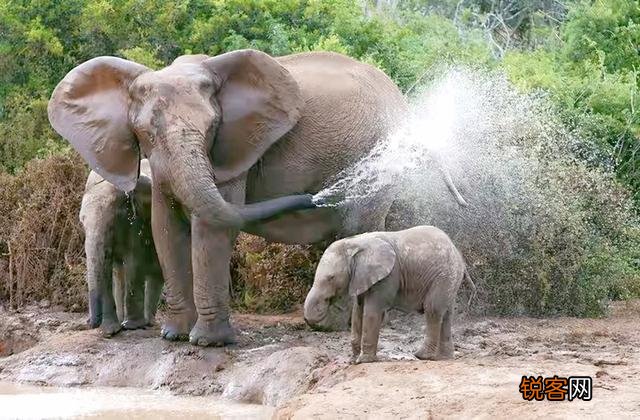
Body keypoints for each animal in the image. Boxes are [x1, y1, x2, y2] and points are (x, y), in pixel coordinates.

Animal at [80, 159, 163, 337]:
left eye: (113, 222)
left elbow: (133, 260)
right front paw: (111, 331)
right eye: (82, 223)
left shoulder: (136, 219)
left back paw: (147, 323)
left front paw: (131, 327)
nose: (90, 323)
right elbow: (110, 268)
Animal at [303, 225, 475, 364]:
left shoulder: (389, 275)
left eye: (331, 278)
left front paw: (364, 361)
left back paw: (422, 356)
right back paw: (444, 357)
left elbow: (371, 312)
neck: (355, 242)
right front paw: (352, 360)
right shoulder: (362, 277)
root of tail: (457, 252)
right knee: (446, 313)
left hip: (444, 275)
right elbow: (358, 312)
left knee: (433, 309)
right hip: (450, 278)